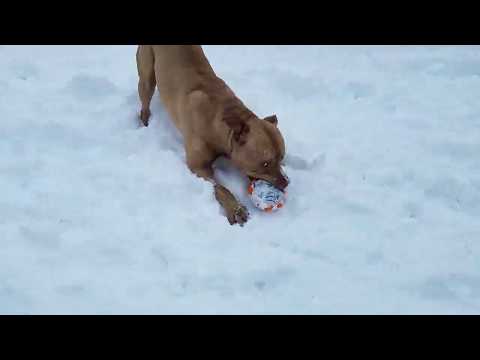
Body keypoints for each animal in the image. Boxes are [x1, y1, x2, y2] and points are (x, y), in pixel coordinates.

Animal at [135, 45, 288, 225]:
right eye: (265, 163)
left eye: (282, 158)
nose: (286, 183)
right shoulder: (198, 167)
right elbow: (221, 187)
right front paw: (235, 209)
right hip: (147, 77)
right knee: (145, 100)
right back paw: (144, 123)